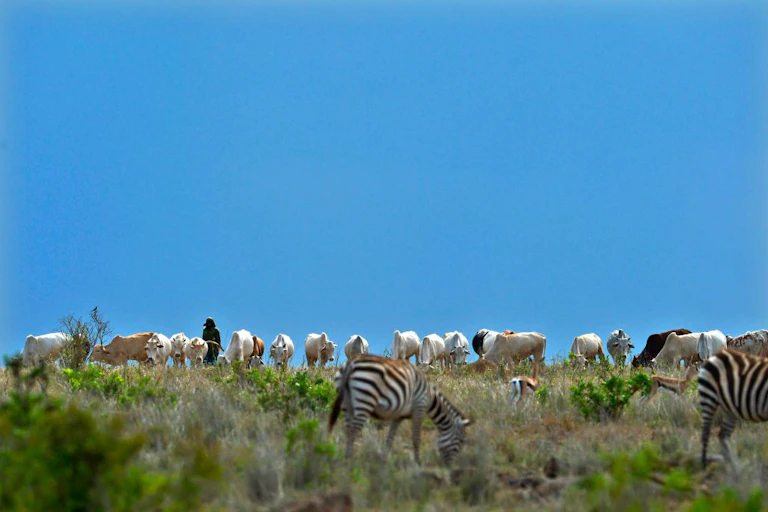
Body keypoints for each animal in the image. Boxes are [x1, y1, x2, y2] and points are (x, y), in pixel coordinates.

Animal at [328, 354, 472, 466]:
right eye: (460, 441)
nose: (449, 466)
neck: (430, 397)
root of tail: (351, 363)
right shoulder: (419, 408)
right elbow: (416, 438)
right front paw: (418, 463)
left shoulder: (398, 416)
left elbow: (390, 439)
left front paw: (383, 461)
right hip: (365, 399)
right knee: (353, 430)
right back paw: (350, 463)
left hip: (347, 404)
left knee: (348, 429)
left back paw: (346, 460)